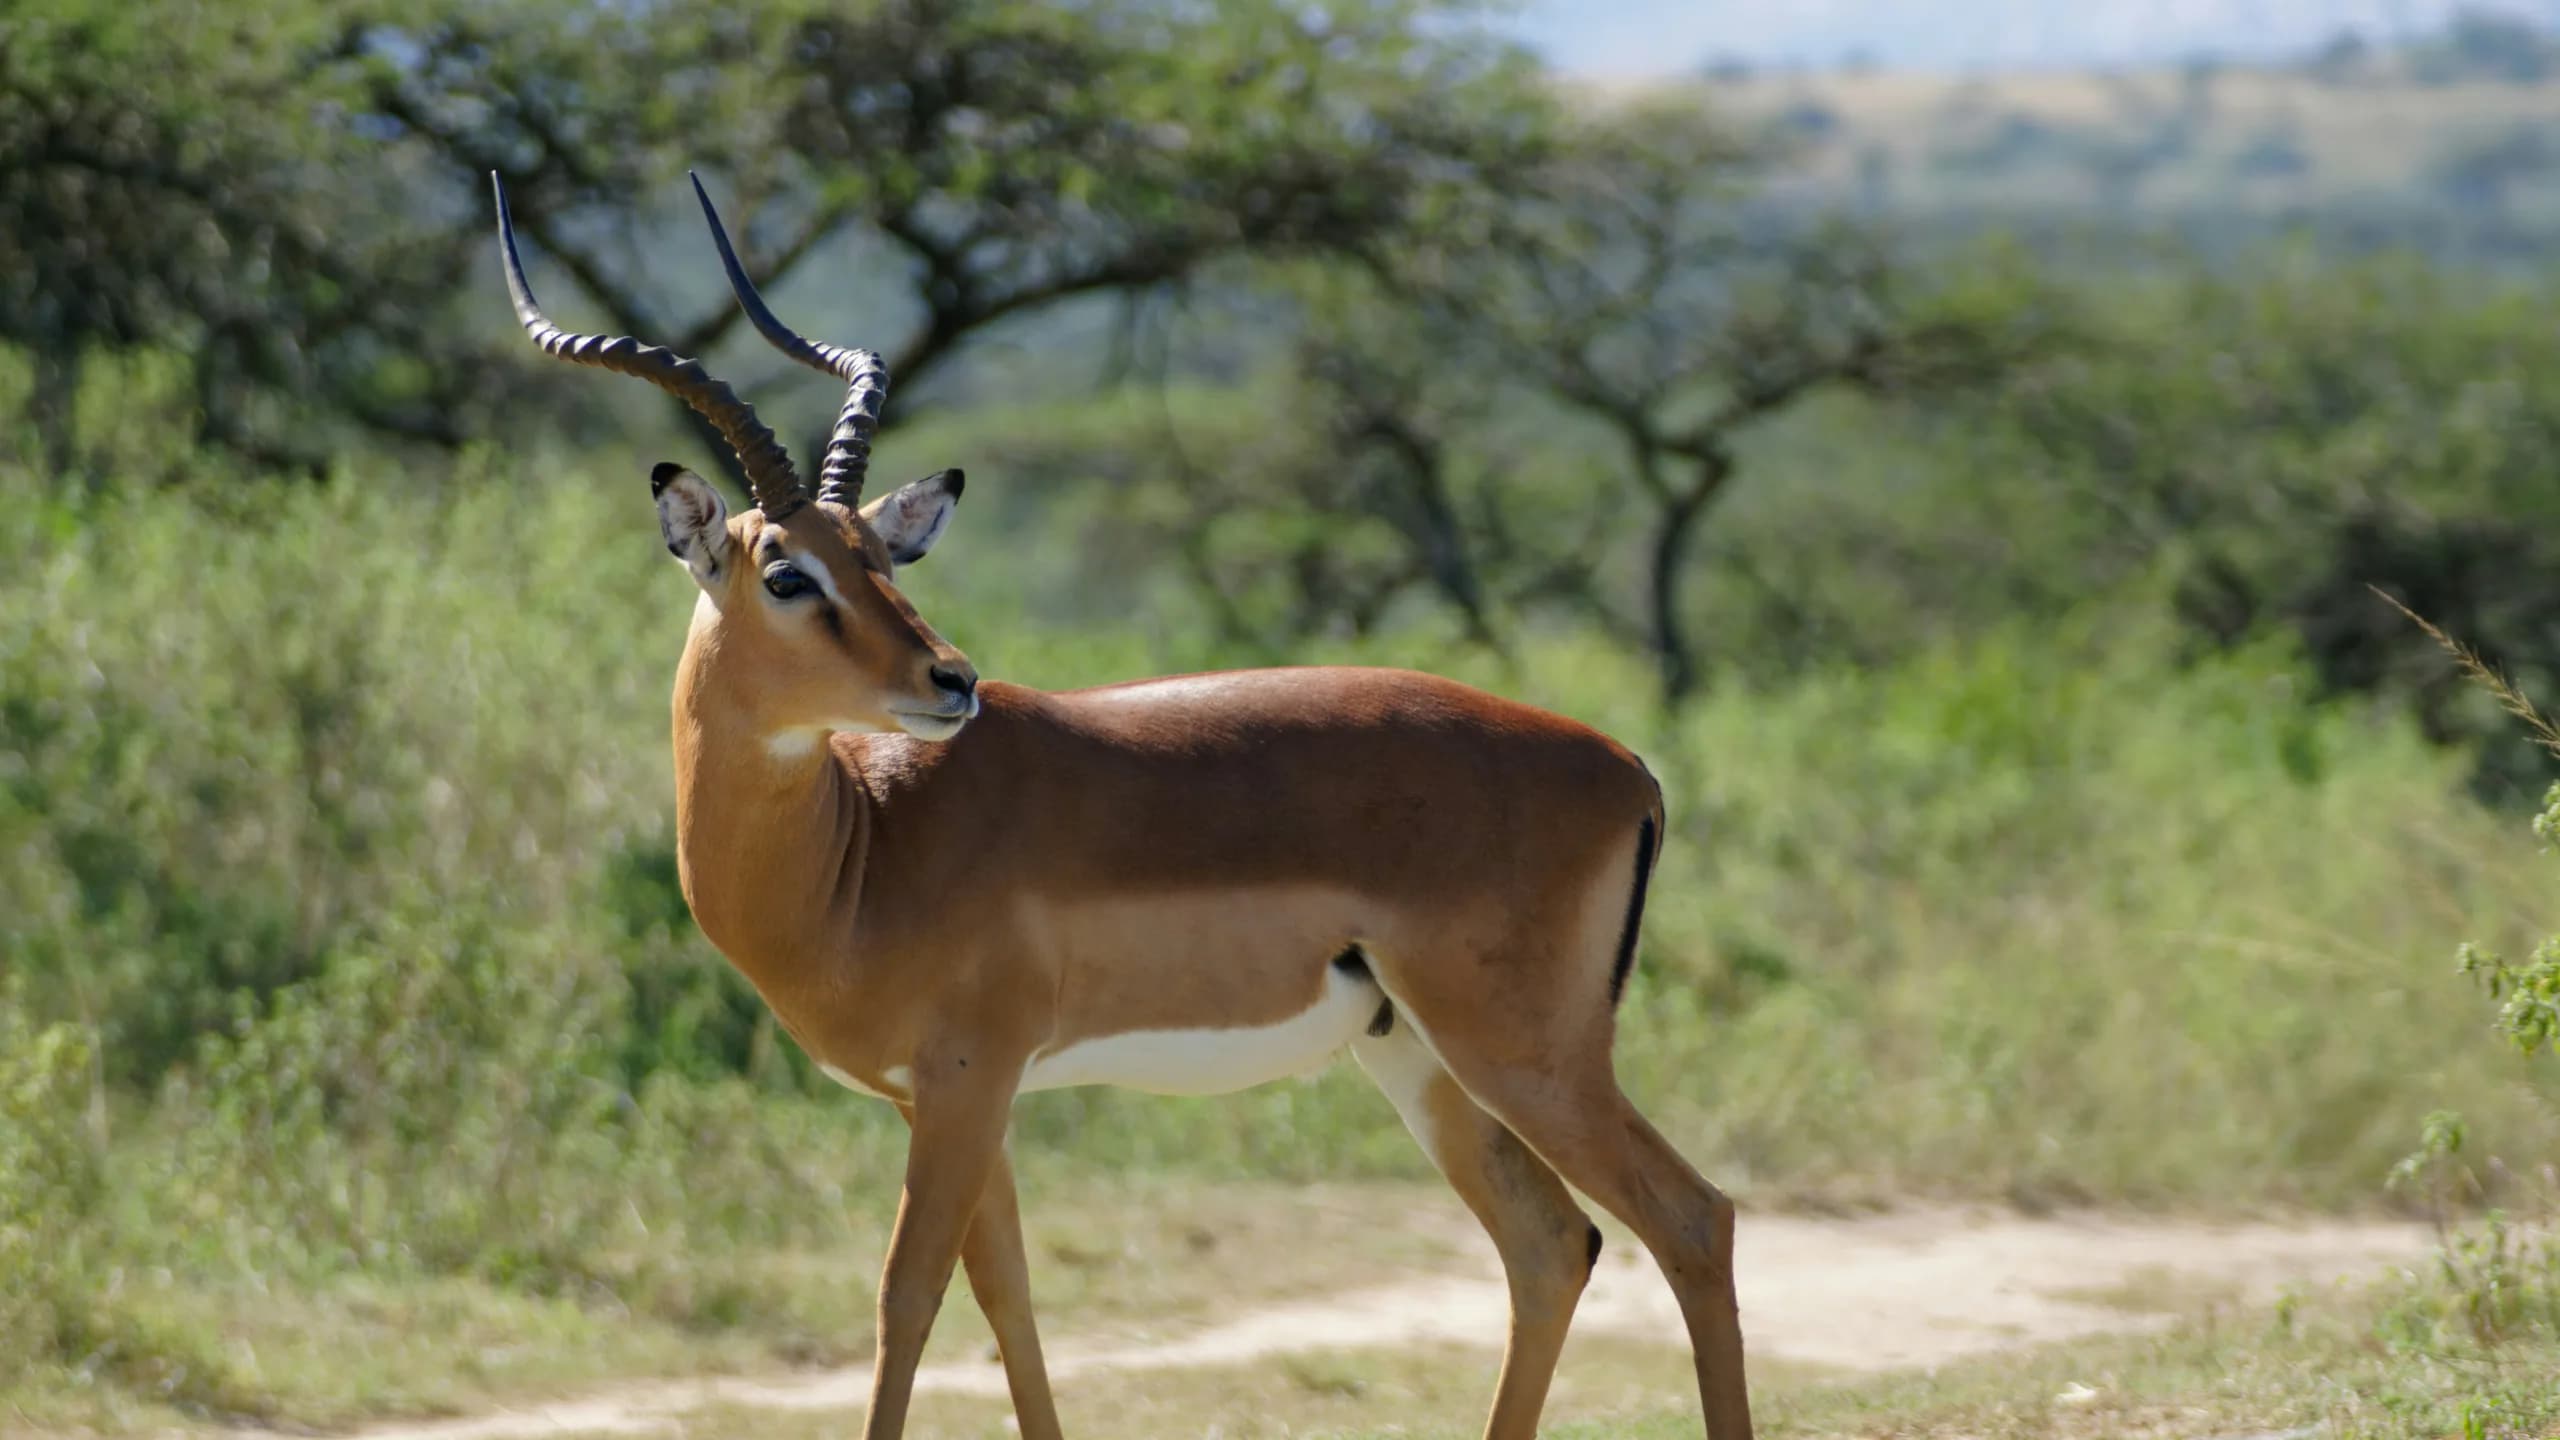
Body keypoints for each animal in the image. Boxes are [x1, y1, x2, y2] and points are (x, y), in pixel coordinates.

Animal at [491, 171, 1755, 1440]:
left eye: (881, 563)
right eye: (790, 573)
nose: (954, 681)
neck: (863, 850)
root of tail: (1627, 768)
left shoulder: (964, 1083)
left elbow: (908, 1296)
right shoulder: (949, 1100)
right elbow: (1006, 1297)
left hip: (1526, 1053)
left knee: (1692, 1219)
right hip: (1422, 1057)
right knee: (1550, 1246)